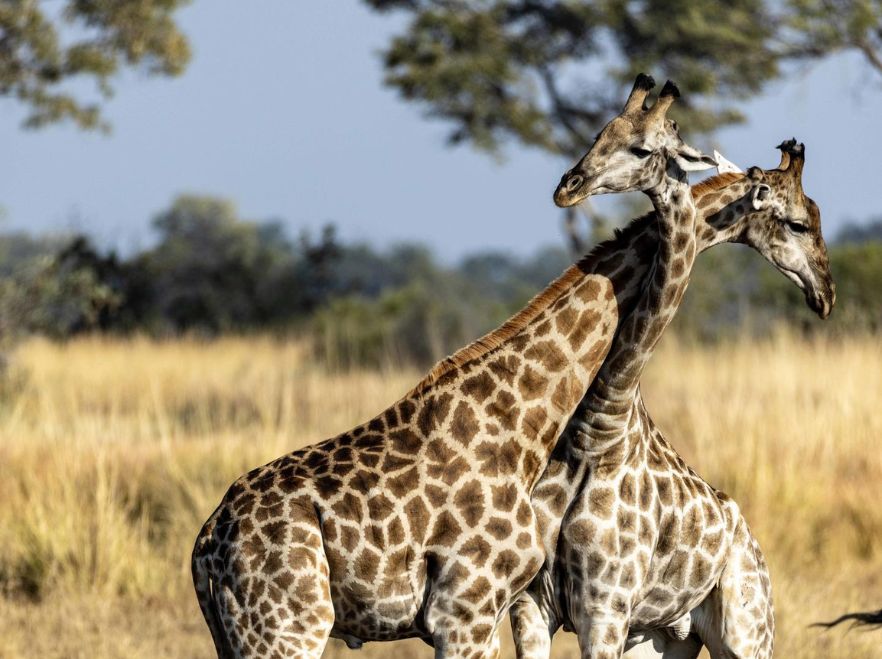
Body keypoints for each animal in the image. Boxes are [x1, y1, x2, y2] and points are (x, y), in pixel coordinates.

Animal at [190, 74, 717, 659]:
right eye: (602, 133)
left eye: (640, 147)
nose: (569, 186)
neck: (525, 423)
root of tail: (206, 544)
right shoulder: (465, 611)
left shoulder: (482, 616)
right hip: (287, 632)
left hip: (243, 636)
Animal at [509, 139, 835, 659]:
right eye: (800, 223)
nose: (826, 295)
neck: (600, 428)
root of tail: (754, 547)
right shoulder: (532, 603)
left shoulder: (604, 607)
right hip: (664, 637)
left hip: (746, 632)